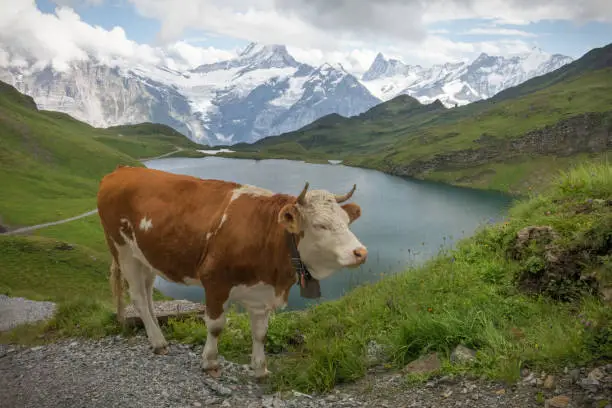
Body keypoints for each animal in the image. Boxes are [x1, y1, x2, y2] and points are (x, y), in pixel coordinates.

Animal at [93, 166, 366, 380]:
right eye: (320, 225)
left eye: (346, 222)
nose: (360, 252)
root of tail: (121, 171)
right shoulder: (215, 280)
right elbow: (216, 326)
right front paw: (211, 362)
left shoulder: (261, 291)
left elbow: (260, 332)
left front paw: (260, 368)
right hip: (122, 249)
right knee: (138, 296)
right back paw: (158, 343)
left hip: (146, 256)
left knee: (148, 293)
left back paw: (157, 335)